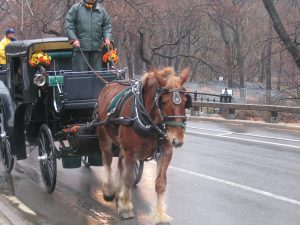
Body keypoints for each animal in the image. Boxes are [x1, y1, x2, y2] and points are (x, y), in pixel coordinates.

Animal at [98, 67, 190, 224]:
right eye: (163, 101)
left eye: (185, 101)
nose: (177, 140)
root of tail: (109, 84)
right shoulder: (131, 153)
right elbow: (129, 178)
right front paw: (126, 207)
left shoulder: (165, 152)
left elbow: (160, 183)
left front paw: (160, 214)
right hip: (105, 138)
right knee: (108, 161)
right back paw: (109, 190)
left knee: (120, 165)